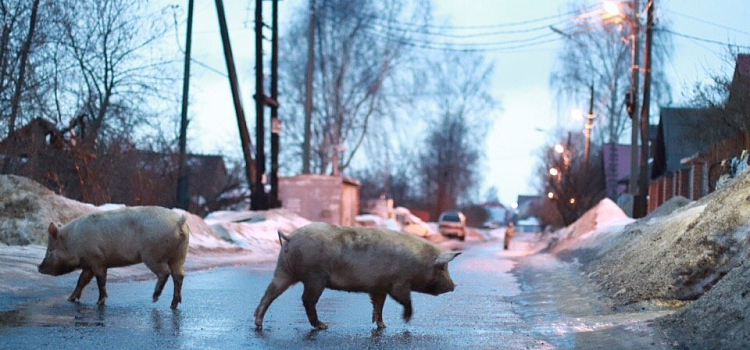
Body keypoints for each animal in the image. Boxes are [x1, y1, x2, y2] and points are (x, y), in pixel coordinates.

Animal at [37, 206, 191, 308]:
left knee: (165, 273)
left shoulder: (96, 259)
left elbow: (100, 280)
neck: (74, 241)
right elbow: (82, 280)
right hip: (179, 256)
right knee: (179, 276)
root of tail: (179, 221)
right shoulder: (89, 263)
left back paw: (154, 298)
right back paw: (173, 304)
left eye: (50, 249)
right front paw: (70, 299)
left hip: (152, 255)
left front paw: (99, 302)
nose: (39, 267)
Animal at [256, 223, 462, 330]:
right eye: (442, 267)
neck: (419, 263)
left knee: (269, 293)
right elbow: (405, 299)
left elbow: (379, 305)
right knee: (307, 299)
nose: (453, 285)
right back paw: (323, 326)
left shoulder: (379, 286)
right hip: (315, 276)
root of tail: (291, 237)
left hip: (284, 270)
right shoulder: (399, 282)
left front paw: (383, 326)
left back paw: (258, 323)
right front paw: (405, 320)